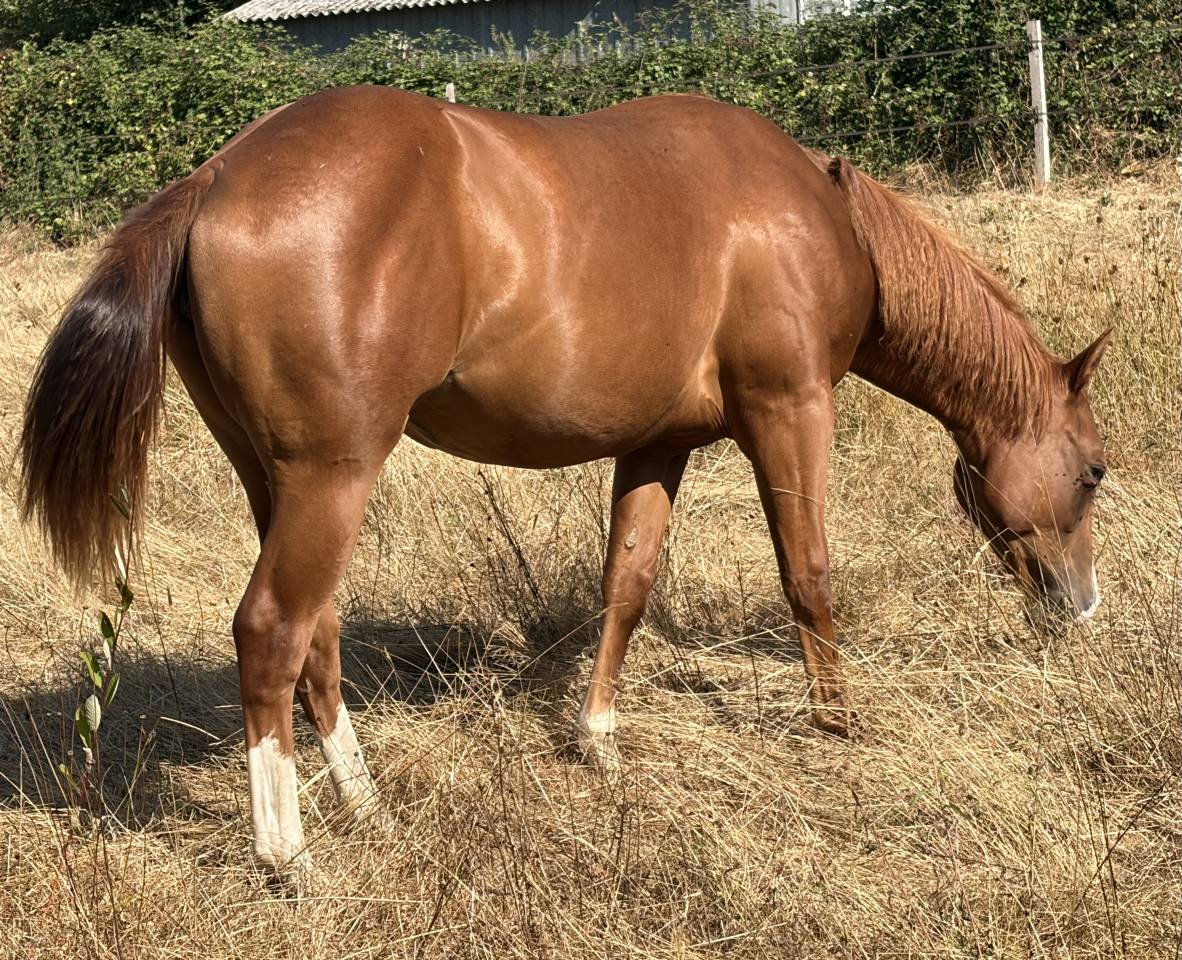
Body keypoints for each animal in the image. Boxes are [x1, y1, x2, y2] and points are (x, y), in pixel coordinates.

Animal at [20, 87, 1110, 883]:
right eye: (1095, 472)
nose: (1079, 606)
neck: (811, 211)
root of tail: (213, 178)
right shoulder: (789, 409)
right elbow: (808, 573)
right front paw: (837, 726)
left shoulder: (658, 444)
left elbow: (626, 585)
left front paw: (597, 738)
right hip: (334, 474)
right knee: (271, 630)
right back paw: (288, 855)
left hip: (277, 480)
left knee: (314, 636)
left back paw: (367, 806)